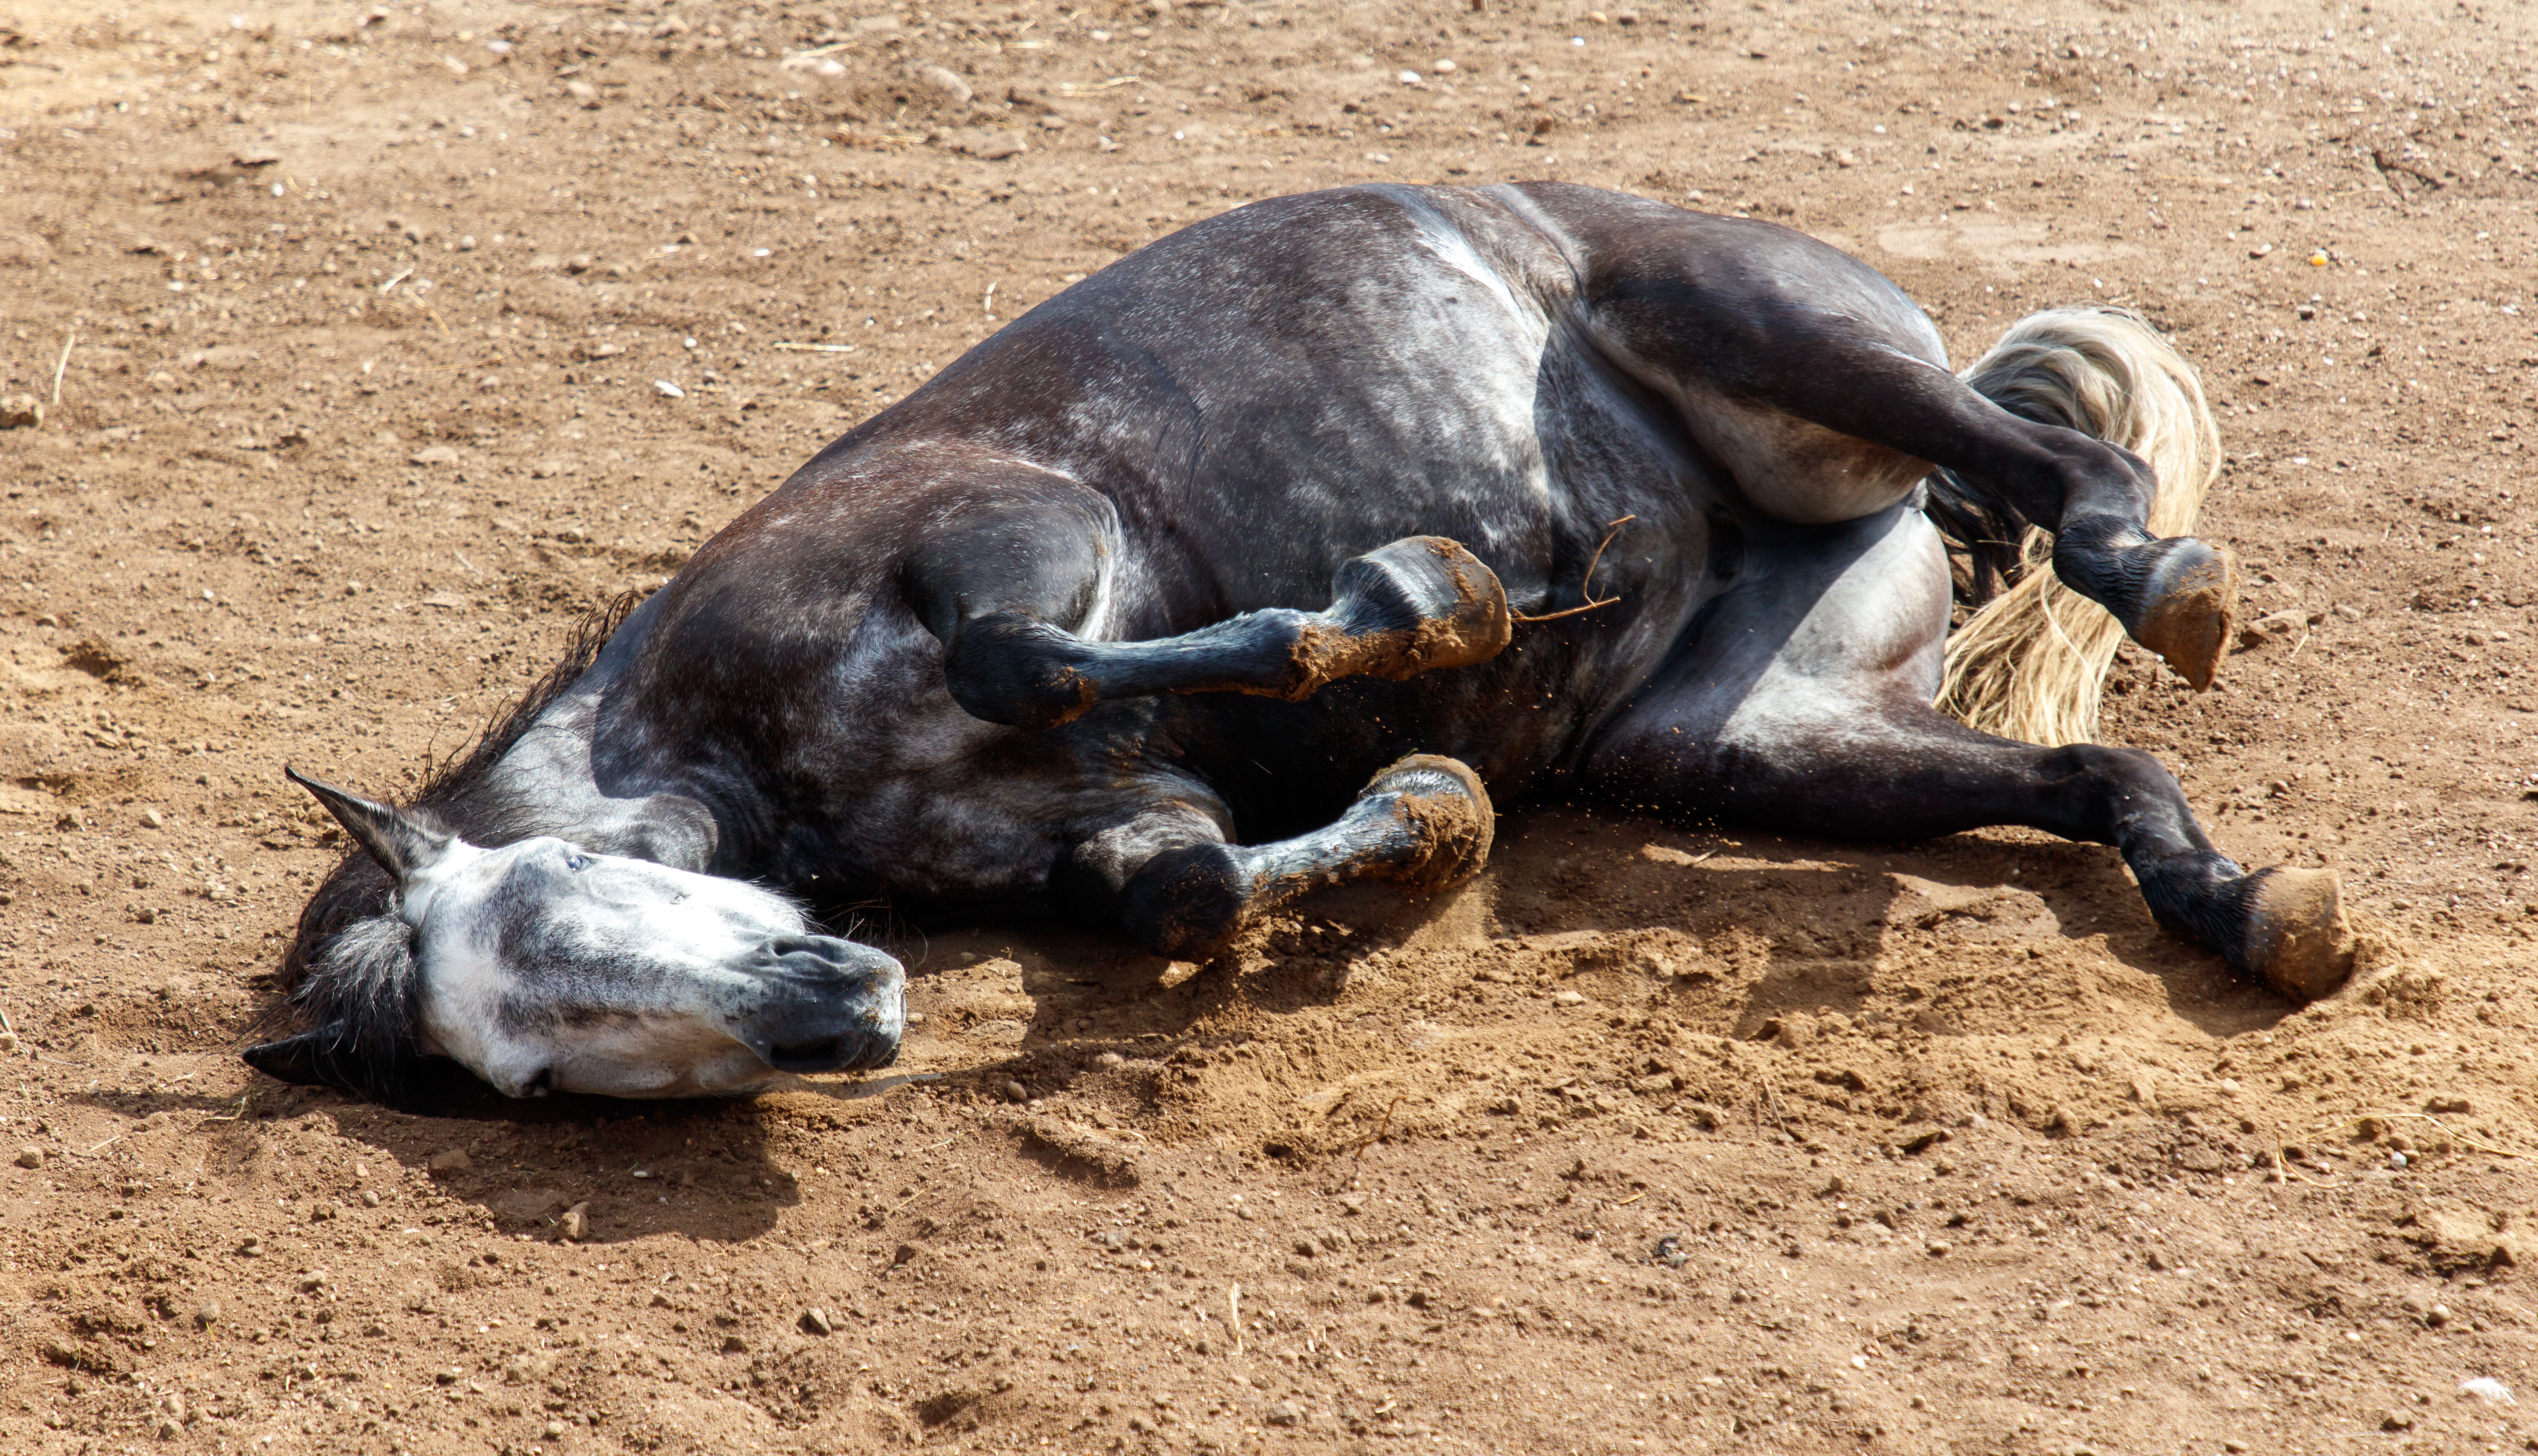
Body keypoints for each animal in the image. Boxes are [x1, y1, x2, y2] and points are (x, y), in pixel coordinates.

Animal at [254, 182, 2353, 1105]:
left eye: (559, 908)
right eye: (535, 1071)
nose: (835, 1016)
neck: (745, 736)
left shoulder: (1028, 533)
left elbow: (1043, 658)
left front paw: (1434, 603)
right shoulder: (1123, 815)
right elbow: (1179, 879)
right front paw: (1428, 804)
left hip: (1775, 342)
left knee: (2071, 462)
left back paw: (2159, 574)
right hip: (1746, 734)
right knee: (2088, 770)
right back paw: (2254, 908)